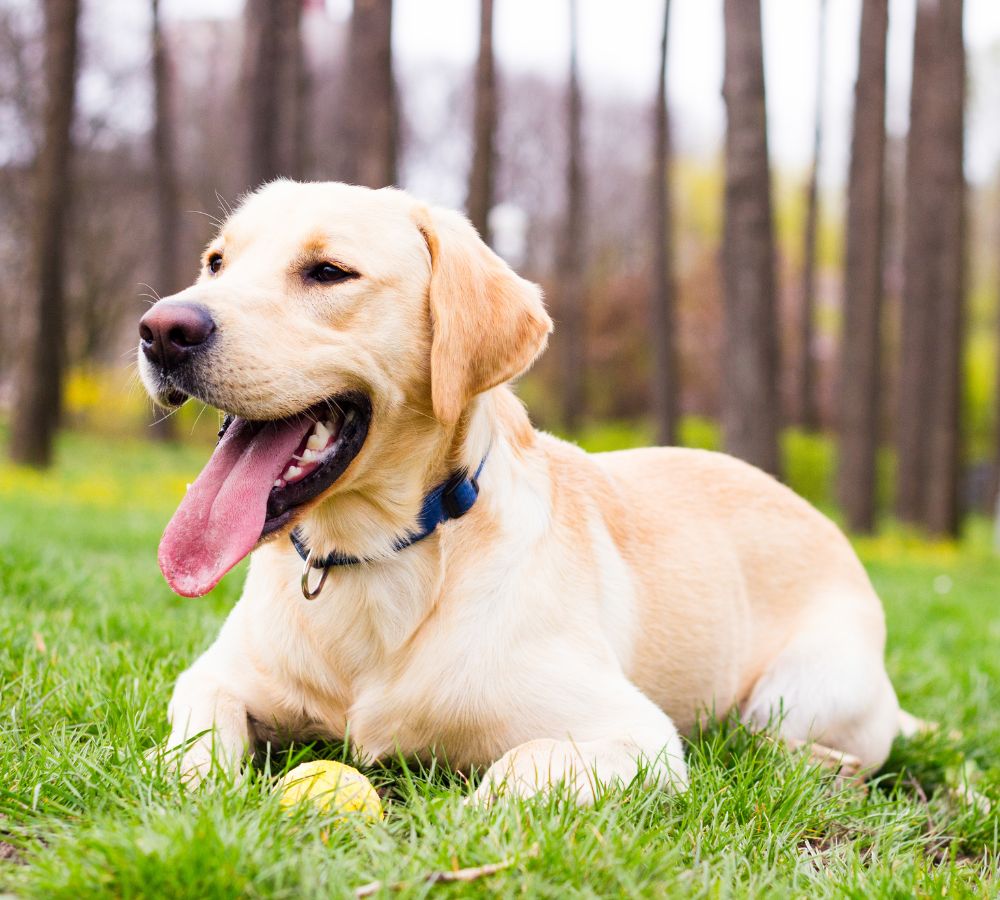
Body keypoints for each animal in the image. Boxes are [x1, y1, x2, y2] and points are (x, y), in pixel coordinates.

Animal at [137, 181, 912, 800]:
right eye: (215, 262)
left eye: (328, 272)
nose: (162, 329)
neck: (375, 557)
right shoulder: (216, 675)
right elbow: (196, 733)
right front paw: (176, 776)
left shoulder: (637, 737)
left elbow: (518, 768)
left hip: (800, 687)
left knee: (781, 739)